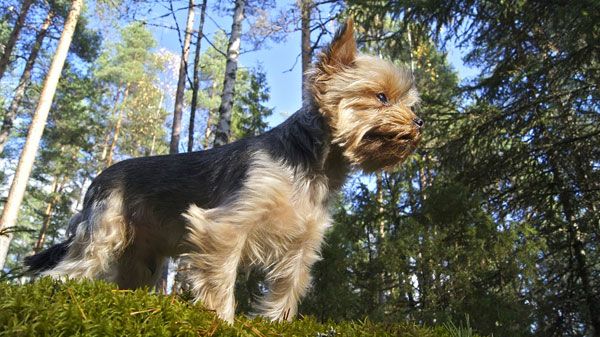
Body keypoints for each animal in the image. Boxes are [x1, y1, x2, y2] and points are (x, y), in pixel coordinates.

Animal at [25, 19, 422, 322]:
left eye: (410, 104)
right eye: (381, 97)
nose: (419, 122)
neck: (315, 166)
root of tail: (94, 182)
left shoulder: (302, 243)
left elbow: (287, 287)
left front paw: (274, 322)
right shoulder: (226, 225)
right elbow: (221, 279)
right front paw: (222, 319)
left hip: (142, 257)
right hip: (105, 228)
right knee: (70, 267)